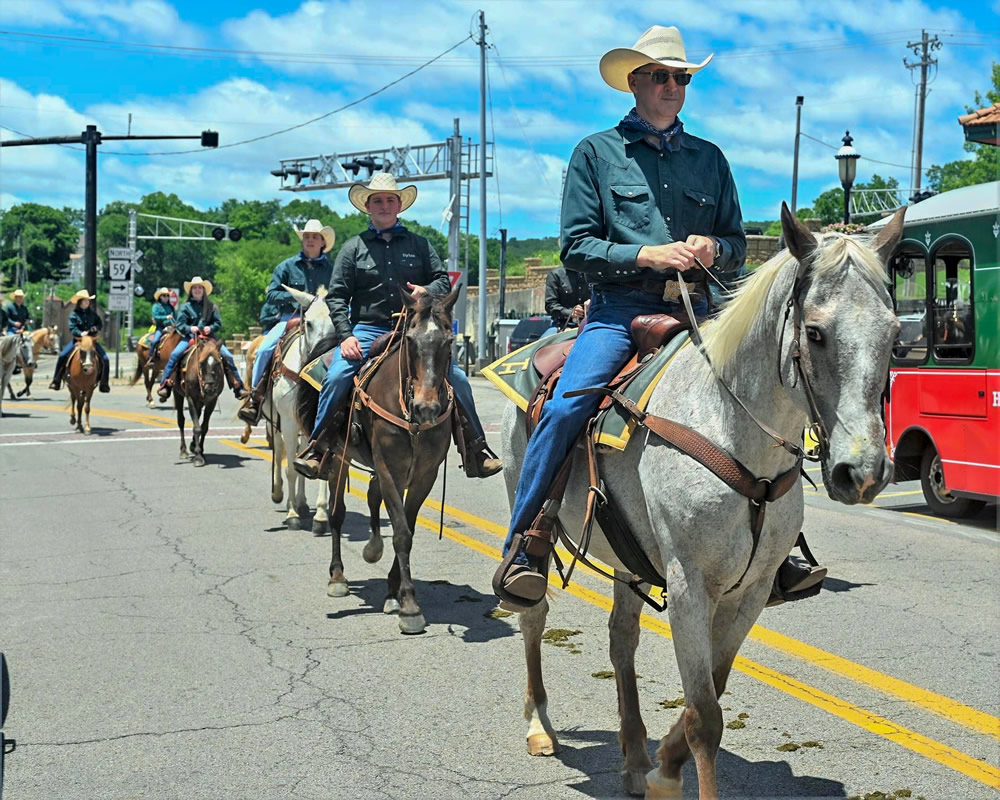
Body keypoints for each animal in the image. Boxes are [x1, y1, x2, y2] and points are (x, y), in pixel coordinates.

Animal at [174, 334, 225, 466]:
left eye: (218, 363)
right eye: (201, 363)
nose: (209, 388)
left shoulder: (212, 401)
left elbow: (204, 427)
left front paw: (200, 451)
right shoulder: (190, 398)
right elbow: (197, 427)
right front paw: (198, 457)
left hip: (201, 402)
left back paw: (192, 445)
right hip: (177, 394)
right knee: (181, 420)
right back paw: (183, 451)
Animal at [260, 284, 334, 536]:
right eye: (308, 323)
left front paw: (321, 517)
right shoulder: (288, 423)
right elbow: (290, 469)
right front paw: (292, 515)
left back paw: (302, 504)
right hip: (276, 423)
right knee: (281, 452)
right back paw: (279, 494)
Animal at [298, 284, 462, 636]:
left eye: (448, 341)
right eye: (410, 340)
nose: (427, 407)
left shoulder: (423, 475)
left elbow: (407, 527)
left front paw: (393, 592)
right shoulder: (389, 469)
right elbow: (400, 531)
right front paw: (410, 606)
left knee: (372, 499)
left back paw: (373, 549)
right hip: (339, 457)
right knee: (337, 514)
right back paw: (337, 577)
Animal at [504, 203, 904, 796]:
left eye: (895, 334)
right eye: (814, 333)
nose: (864, 471)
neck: (729, 425)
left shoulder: (752, 590)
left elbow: (713, 688)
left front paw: (663, 765)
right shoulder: (690, 587)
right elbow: (705, 718)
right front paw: (672, 772)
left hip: (629, 557)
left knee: (621, 639)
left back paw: (633, 759)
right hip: (528, 504)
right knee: (533, 614)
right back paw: (539, 726)